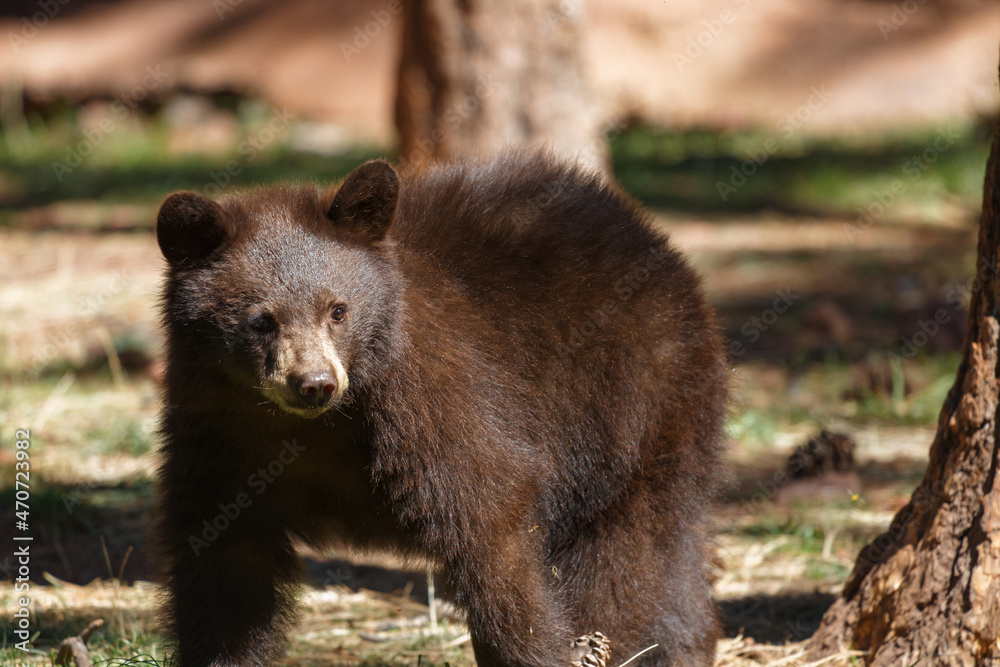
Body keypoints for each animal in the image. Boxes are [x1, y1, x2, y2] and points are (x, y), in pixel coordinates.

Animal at [152, 153, 728, 667]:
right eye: (261, 320)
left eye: (338, 310)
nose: (315, 384)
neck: (316, 427)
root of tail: (651, 235)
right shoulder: (220, 431)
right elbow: (225, 565)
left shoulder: (434, 399)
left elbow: (494, 525)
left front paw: (533, 651)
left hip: (634, 408)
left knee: (633, 559)